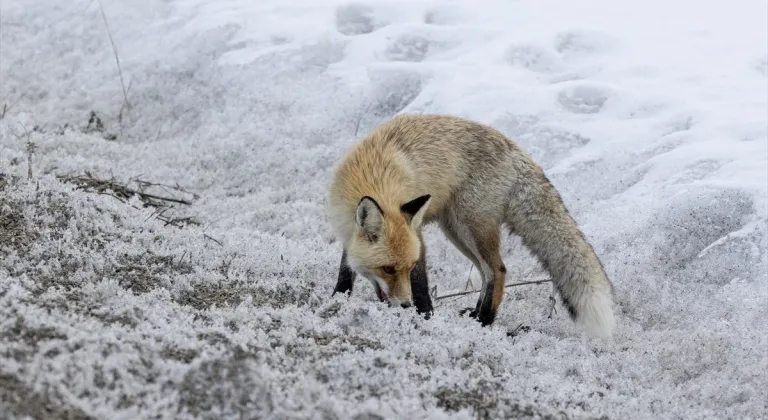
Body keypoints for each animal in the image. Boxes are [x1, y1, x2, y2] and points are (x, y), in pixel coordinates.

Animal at [328, 113, 616, 336]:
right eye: (387, 269)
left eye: (407, 267)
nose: (405, 306)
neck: (376, 175)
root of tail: (516, 151)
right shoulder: (347, 232)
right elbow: (345, 270)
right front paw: (337, 300)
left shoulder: (418, 240)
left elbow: (421, 285)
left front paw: (425, 317)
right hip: (456, 231)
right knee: (486, 273)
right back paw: (475, 314)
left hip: (470, 227)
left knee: (497, 271)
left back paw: (483, 322)